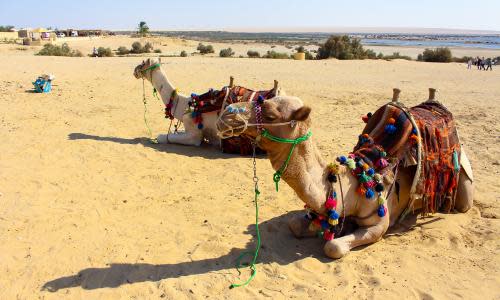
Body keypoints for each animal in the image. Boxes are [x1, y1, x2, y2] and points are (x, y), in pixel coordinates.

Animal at [216, 88, 472, 258]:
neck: (352, 185)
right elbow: (295, 225)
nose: (226, 114)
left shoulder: (378, 224)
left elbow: (333, 246)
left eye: (270, 115)